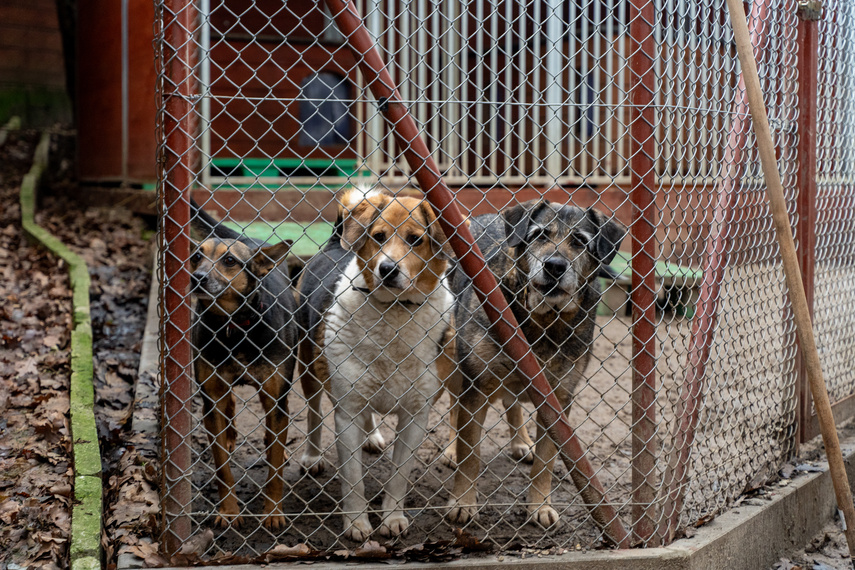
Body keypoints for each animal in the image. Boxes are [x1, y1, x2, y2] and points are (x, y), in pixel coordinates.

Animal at [189, 202, 300, 532]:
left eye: (229, 261)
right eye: (196, 257)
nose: (197, 278)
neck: (234, 328)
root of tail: (250, 240)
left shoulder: (276, 399)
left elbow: (274, 468)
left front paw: (273, 512)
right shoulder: (211, 398)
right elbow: (222, 469)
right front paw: (228, 511)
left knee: (272, 435)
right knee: (229, 409)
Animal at [296, 189, 454, 540]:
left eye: (415, 239)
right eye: (378, 236)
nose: (388, 269)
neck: (394, 312)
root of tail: (334, 244)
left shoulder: (415, 415)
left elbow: (399, 475)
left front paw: (392, 518)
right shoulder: (347, 413)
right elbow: (353, 478)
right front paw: (357, 523)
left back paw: (371, 437)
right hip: (308, 365)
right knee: (314, 413)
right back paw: (312, 456)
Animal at [444, 201, 624, 528]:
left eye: (580, 241)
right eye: (540, 235)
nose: (554, 266)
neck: (544, 319)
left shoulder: (558, 398)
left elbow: (546, 461)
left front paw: (539, 506)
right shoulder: (476, 387)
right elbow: (470, 454)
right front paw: (462, 502)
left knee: (512, 404)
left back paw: (520, 442)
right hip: (454, 358)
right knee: (454, 407)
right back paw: (451, 448)